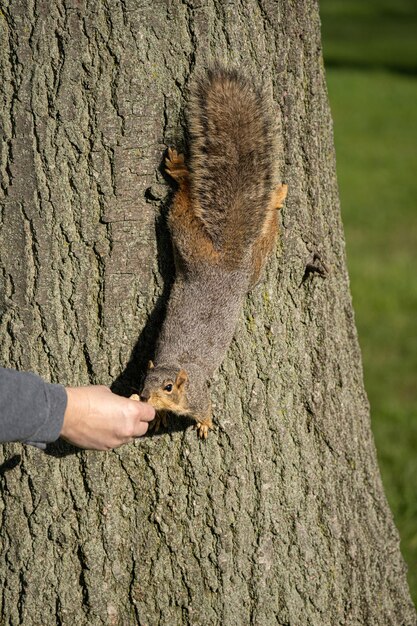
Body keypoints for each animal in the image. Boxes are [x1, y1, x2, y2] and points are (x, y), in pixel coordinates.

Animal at [132, 68, 286, 436]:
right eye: (143, 379)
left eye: (168, 387)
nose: (143, 398)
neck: (177, 365)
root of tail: (225, 257)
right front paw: (158, 417)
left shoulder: (199, 394)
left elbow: (204, 409)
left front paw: (204, 424)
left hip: (198, 240)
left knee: (187, 199)